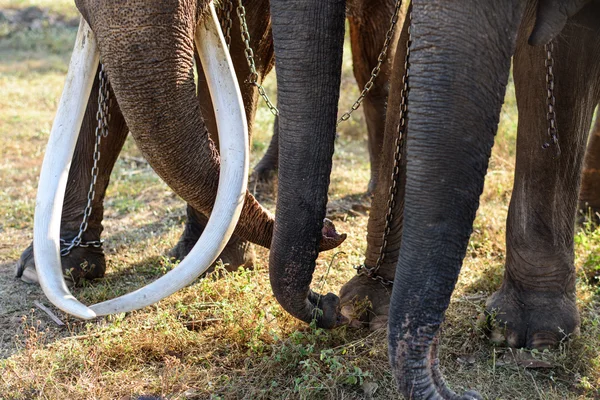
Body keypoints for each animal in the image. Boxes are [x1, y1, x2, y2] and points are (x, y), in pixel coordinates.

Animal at [14, 0, 396, 284]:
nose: (330, 228)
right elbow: (97, 76)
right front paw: (53, 266)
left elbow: (241, 52)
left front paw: (219, 261)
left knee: (371, 59)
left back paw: (371, 192)